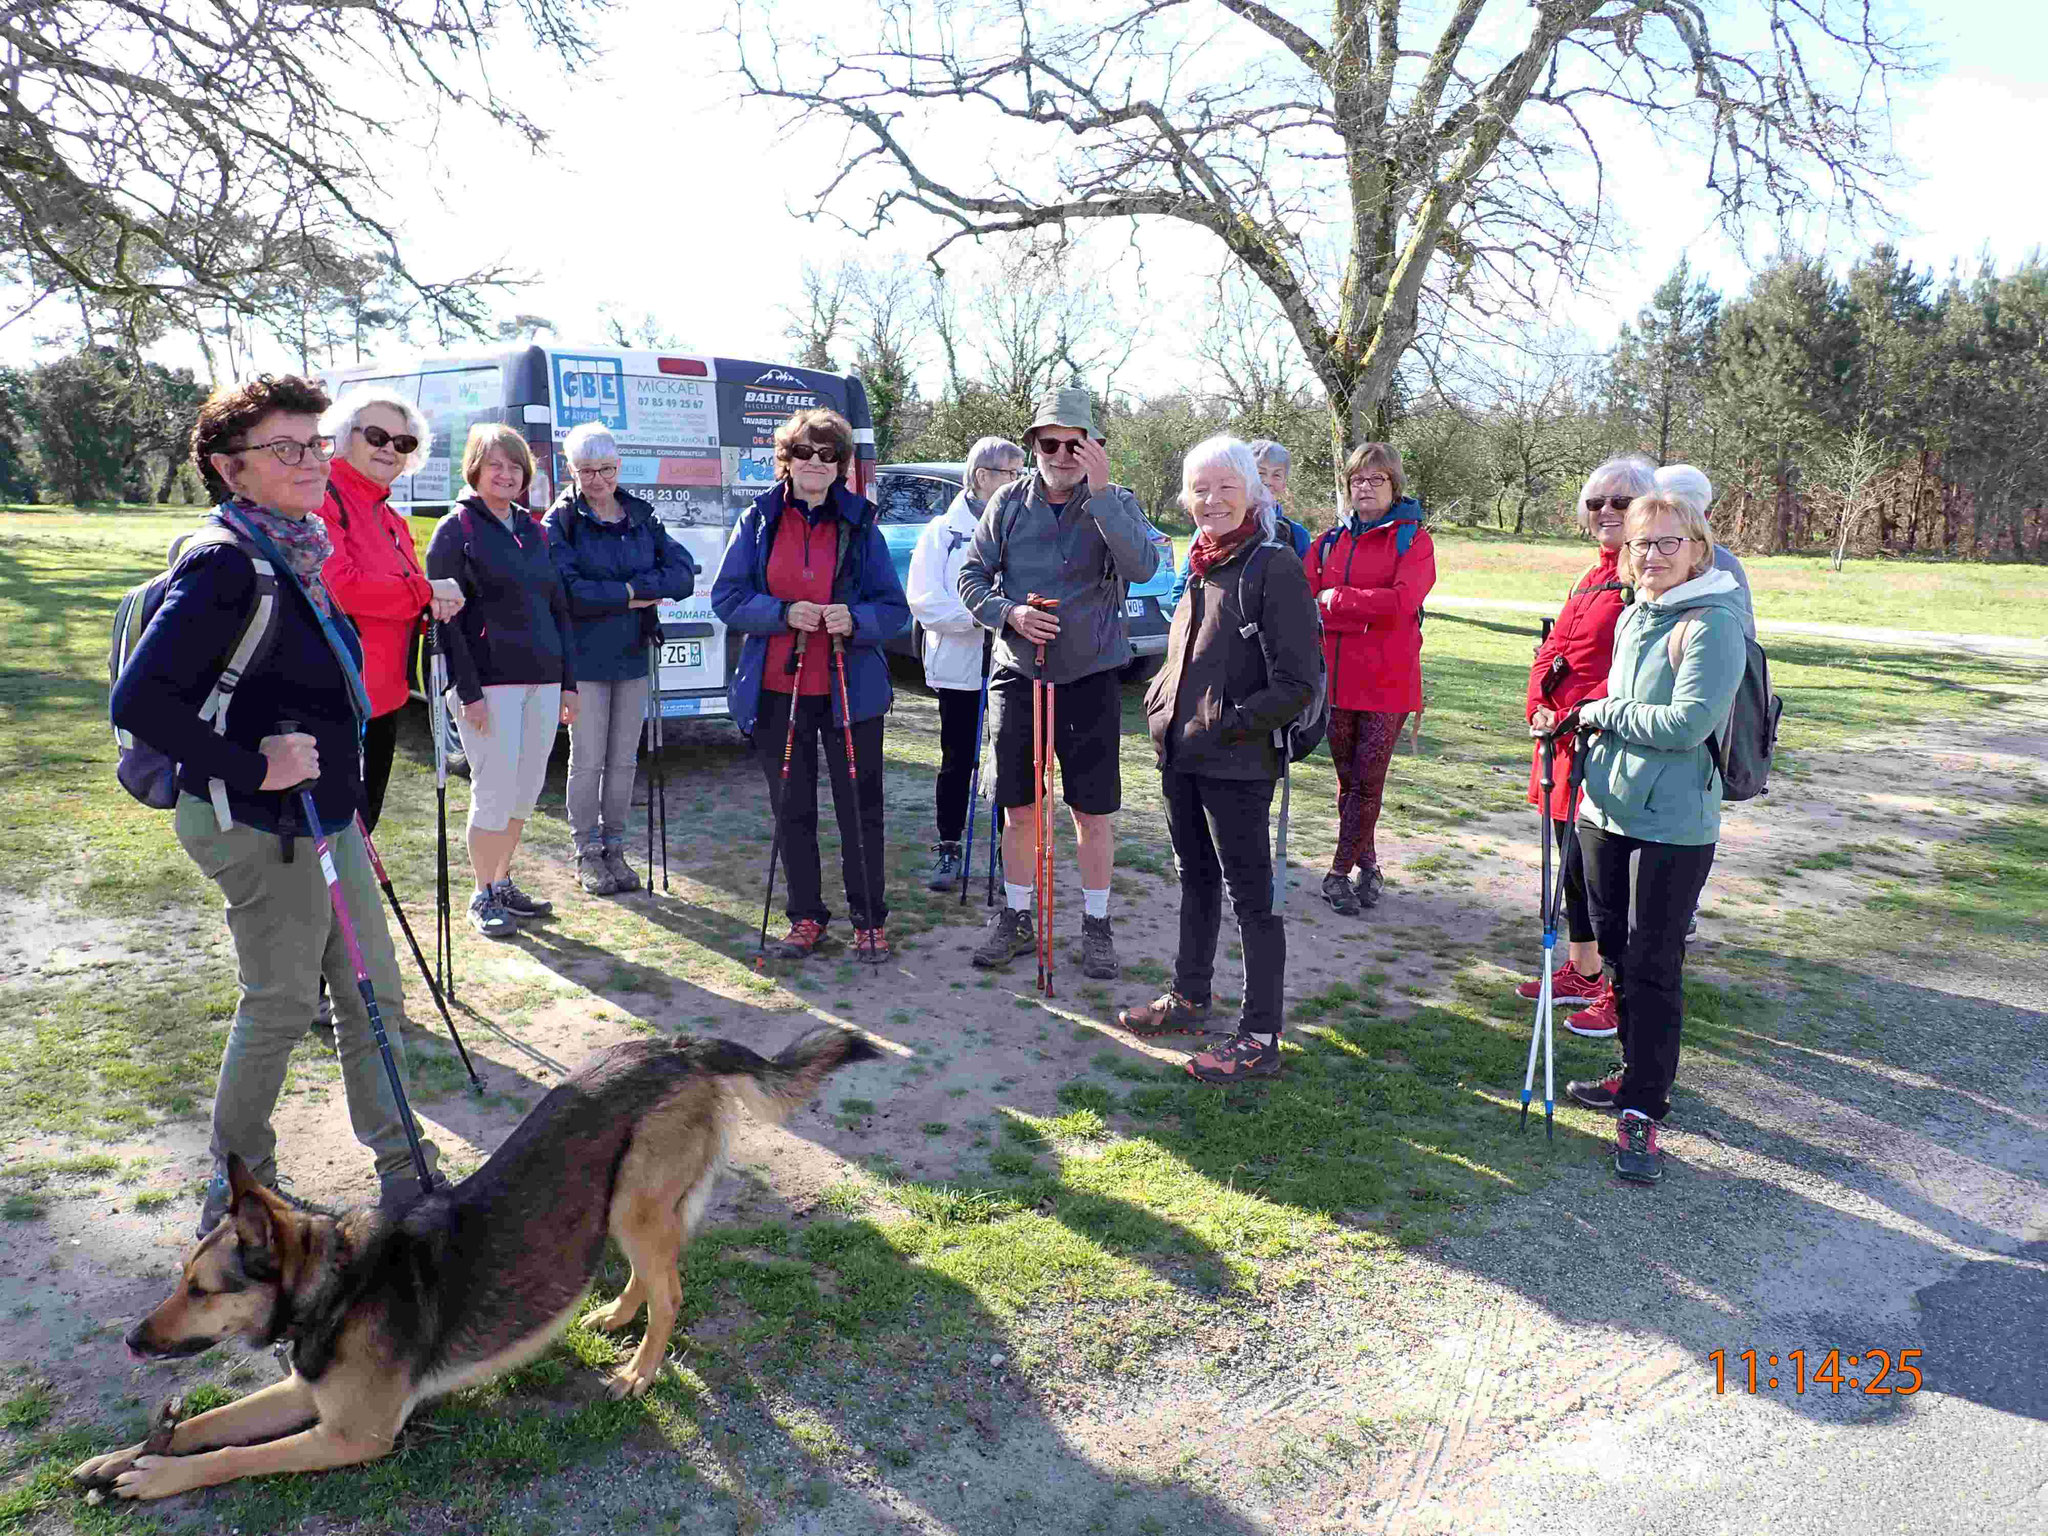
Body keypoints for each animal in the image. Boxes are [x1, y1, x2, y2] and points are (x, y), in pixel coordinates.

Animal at [75, 1024, 876, 1507]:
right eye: (181, 1280)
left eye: (201, 1289)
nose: (132, 1341)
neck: (341, 1284)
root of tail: (677, 1046)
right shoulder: (307, 1396)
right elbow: (211, 1421)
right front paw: (119, 1457)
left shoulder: (354, 1434)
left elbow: (231, 1455)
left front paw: (157, 1473)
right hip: (620, 1205)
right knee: (648, 1279)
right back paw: (613, 1314)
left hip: (634, 1203)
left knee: (672, 1292)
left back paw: (640, 1371)